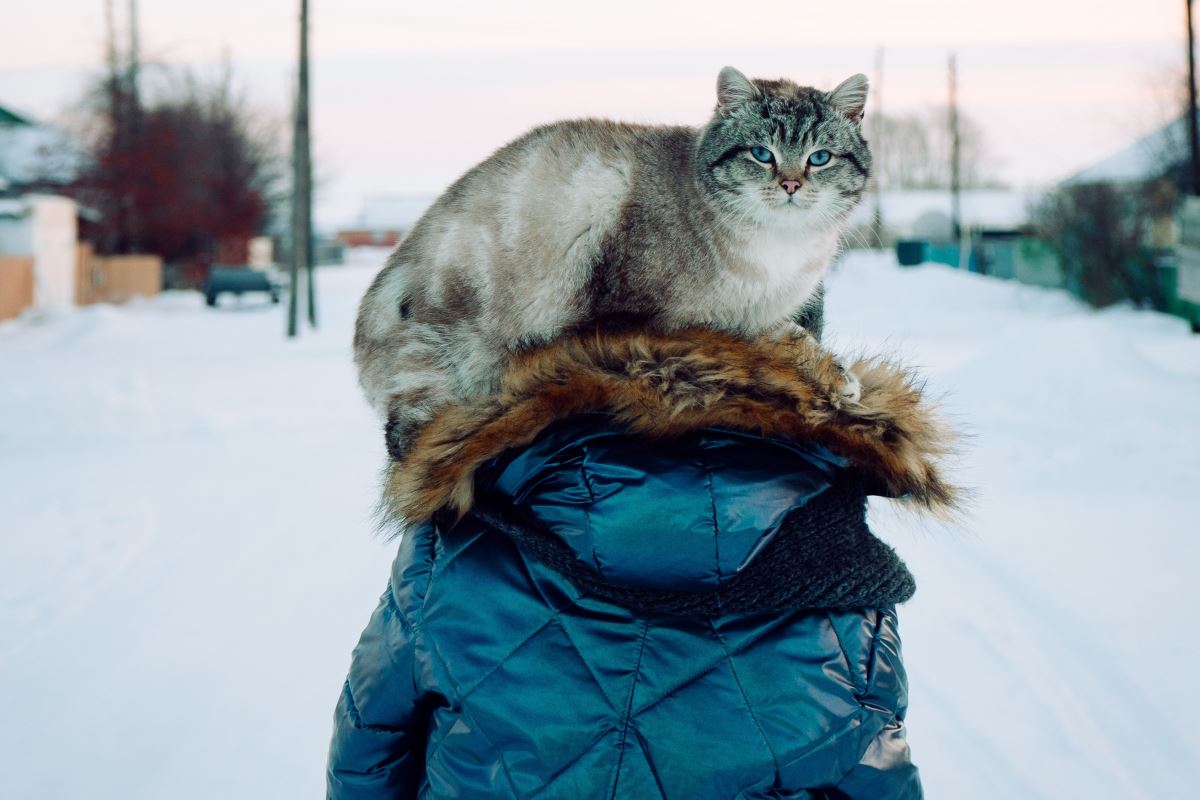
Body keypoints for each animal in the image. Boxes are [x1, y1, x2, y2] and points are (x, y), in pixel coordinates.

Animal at [355, 65, 873, 460]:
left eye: (820, 158)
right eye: (762, 154)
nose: (790, 185)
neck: (779, 250)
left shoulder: (762, 312)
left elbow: (793, 337)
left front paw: (837, 377)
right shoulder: (671, 317)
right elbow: (765, 342)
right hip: (447, 355)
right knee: (408, 439)